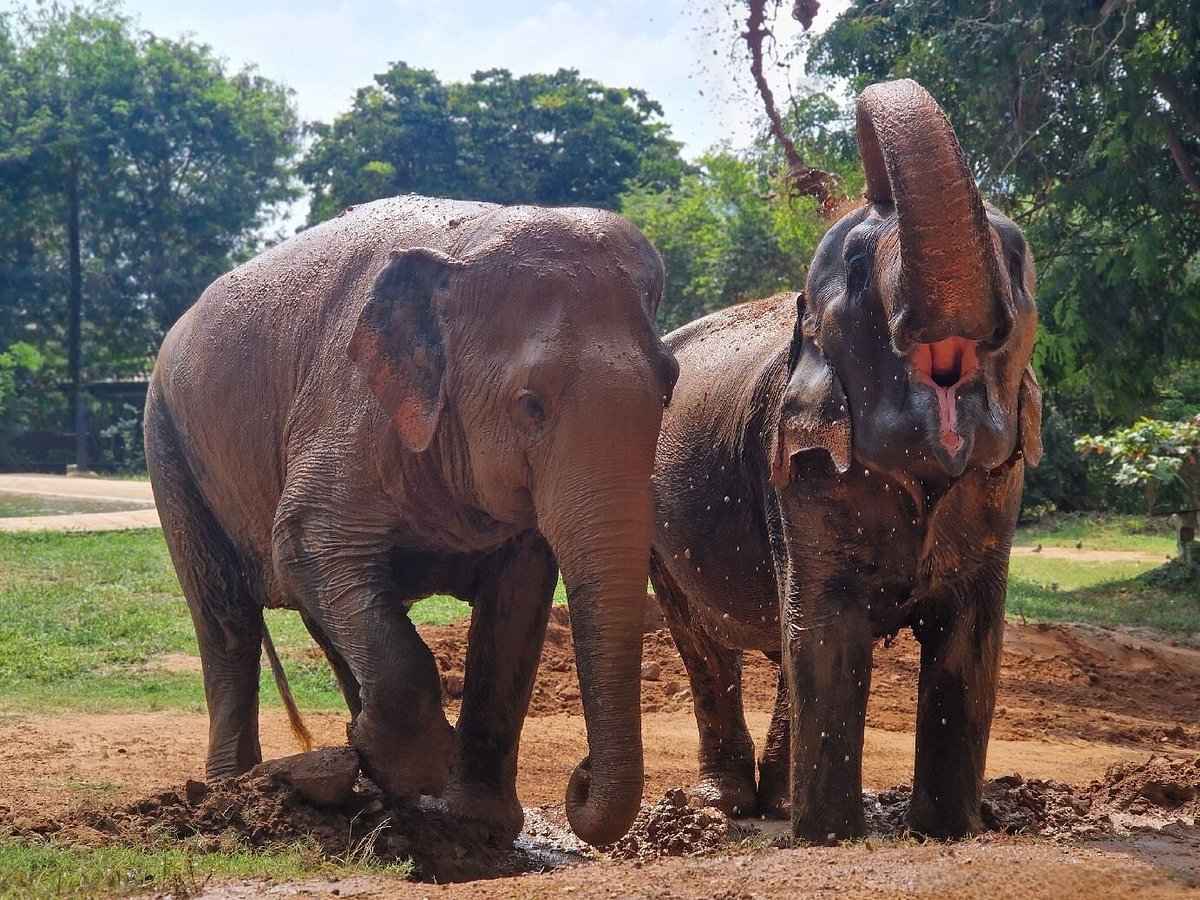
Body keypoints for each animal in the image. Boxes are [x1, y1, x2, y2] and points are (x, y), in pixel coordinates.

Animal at [142, 194, 676, 849]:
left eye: (671, 386)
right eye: (530, 404)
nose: (580, 778)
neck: (463, 247)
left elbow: (515, 607)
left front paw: (474, 823)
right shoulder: (347, 409)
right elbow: (303, 543)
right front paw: (423, 776)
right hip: (169, 448)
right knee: (226, 622)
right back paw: (227, 793)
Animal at [648, 79, 1041, 844]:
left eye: (1014, 262)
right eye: (858, 273)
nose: (869, 181)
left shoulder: (996, 487)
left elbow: (971, 639)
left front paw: (949, 832)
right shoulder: (795, 468)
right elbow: (829, 634)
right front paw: (830, 837)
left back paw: (776, 802)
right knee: (704, 642)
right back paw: (729, 807)